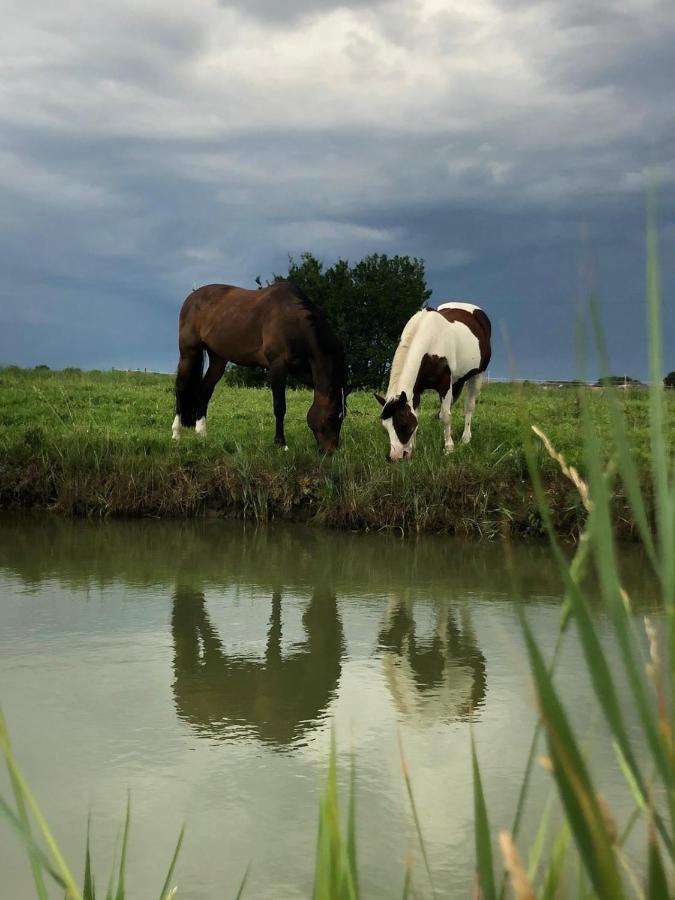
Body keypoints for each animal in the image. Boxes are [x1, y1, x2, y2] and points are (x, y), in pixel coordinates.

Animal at [172, 282, 352, 450]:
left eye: (342, 417)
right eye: (331, 416)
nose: (330, 450)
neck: (294, 322)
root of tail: (192, 297)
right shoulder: (278, 366)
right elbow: (279, 406)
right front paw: (280, 443)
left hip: (218, 359)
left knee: (204, 391)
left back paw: (202, 434)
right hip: (189, 353)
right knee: (180, 389)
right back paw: (176, 434)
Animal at [374, 302, 492, 460]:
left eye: (403, 424)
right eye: (385, 426)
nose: (396, 457)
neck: (430, 344)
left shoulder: (445, 384)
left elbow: (445, 416)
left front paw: (449, 448)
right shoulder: (416, 390)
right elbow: (419, 415)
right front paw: (414, 447)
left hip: (477, 375)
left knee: (468, 407)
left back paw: (465, 439)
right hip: (458, 380)